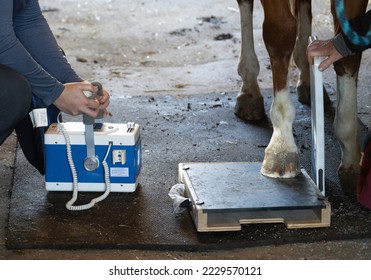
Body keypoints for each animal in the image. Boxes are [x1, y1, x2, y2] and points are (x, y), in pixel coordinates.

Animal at [235, 0, 370, 197]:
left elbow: (348, 54)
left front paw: (352, 160)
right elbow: (280, 34)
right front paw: (282, 148)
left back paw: (307, 80)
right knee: (246, 5)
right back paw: (249, 88)